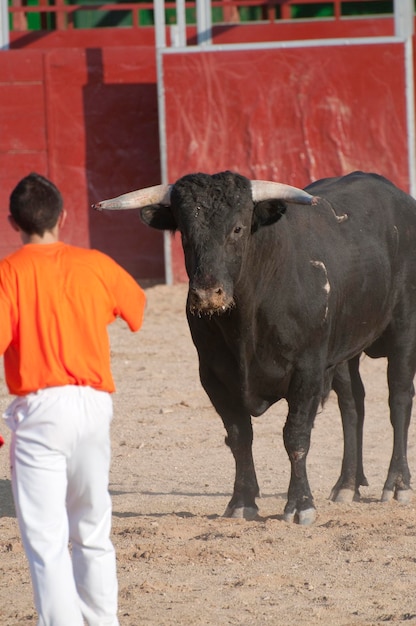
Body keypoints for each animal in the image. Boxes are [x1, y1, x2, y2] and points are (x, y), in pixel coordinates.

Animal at [94, 169, 416, 520]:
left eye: (237, 228)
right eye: (184, 232)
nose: (207, 294)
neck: (245, 323)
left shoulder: (307, 369)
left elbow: (296, 435)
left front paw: (300, 505)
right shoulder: (214, 376)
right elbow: (239, 437)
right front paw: (242, 502)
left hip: (403, 330)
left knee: (399, 398)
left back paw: (397, 484)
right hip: (345, 349)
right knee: (353, 403)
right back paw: (347, 485)